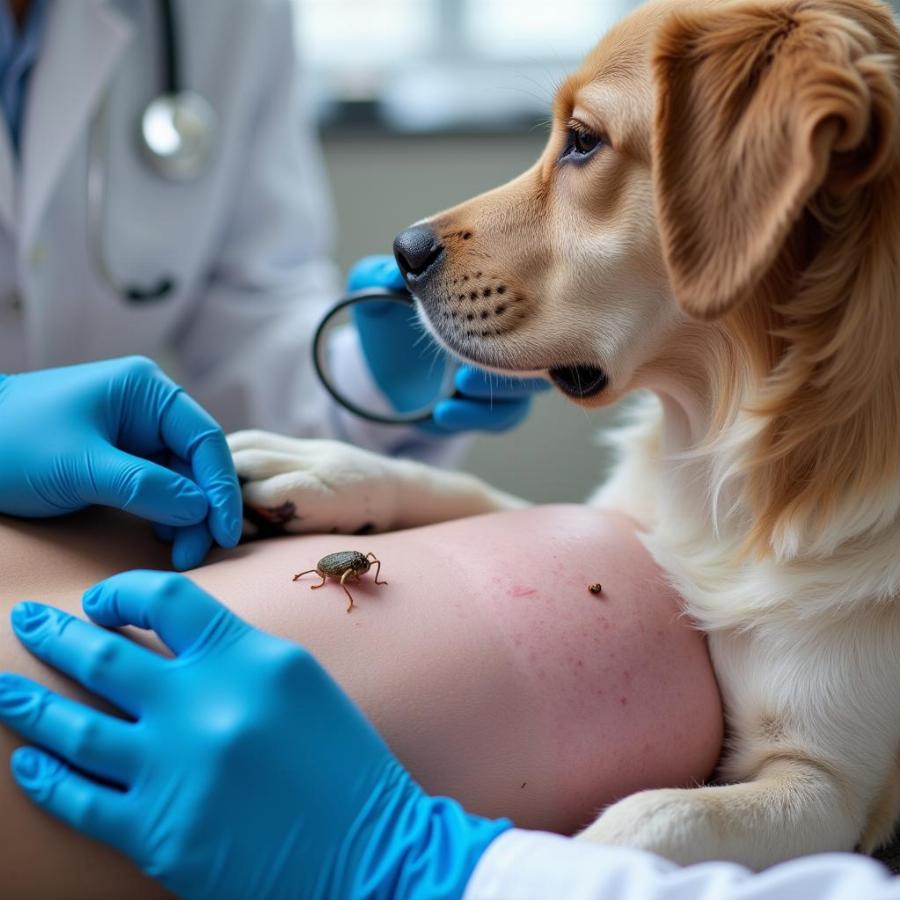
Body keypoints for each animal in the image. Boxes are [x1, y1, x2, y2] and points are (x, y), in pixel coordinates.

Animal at [230, 0, 900, 872]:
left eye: (582, 140)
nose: (402, 254)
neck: (721, 450)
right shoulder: (620, 517)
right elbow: (467, 488)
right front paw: (325, 468)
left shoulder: (827, 788)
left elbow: (650, 817)